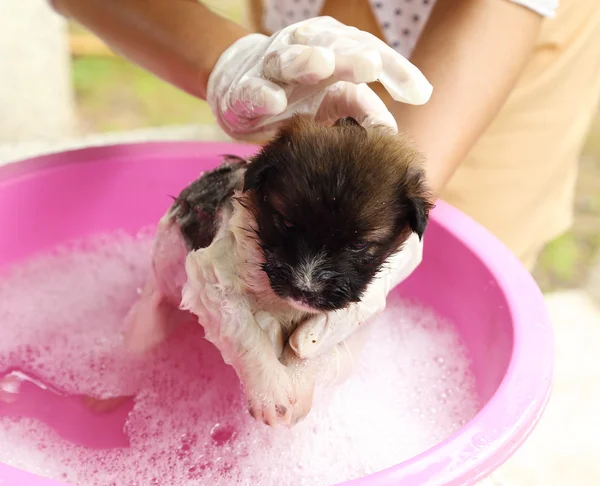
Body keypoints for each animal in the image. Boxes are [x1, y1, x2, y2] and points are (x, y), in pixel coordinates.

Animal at [124, 114, 434, 426]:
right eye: (286, 223)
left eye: (358, 245)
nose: (304, 290)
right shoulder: (212, 276)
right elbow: (246, 332)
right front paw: (271, 392)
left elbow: (307, 347)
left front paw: (297, 384)